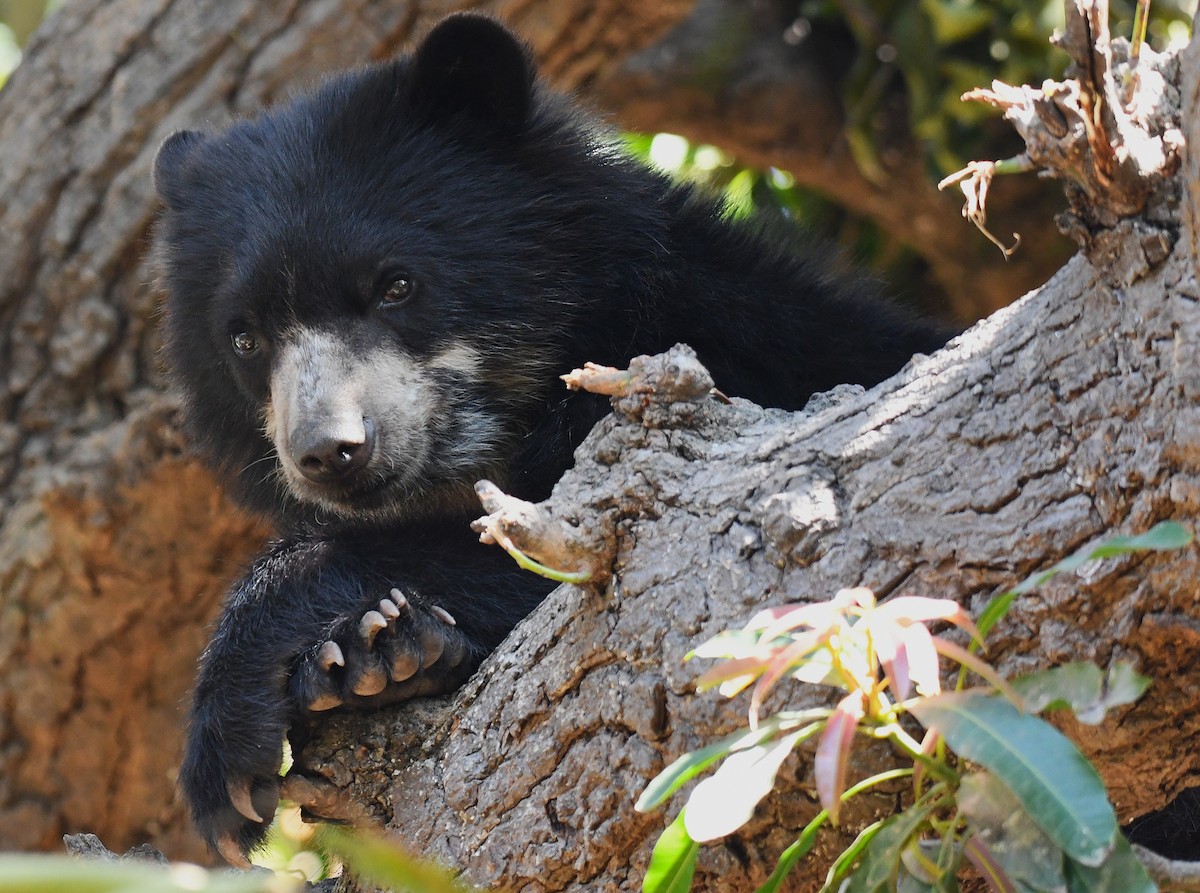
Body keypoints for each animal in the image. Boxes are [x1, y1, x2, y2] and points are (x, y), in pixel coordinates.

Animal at [152, 13, 953, 863]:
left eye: (396, 284)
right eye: (244, 336)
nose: (331, 453)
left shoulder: (704, 381)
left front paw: (234, 748)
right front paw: (373, 658)